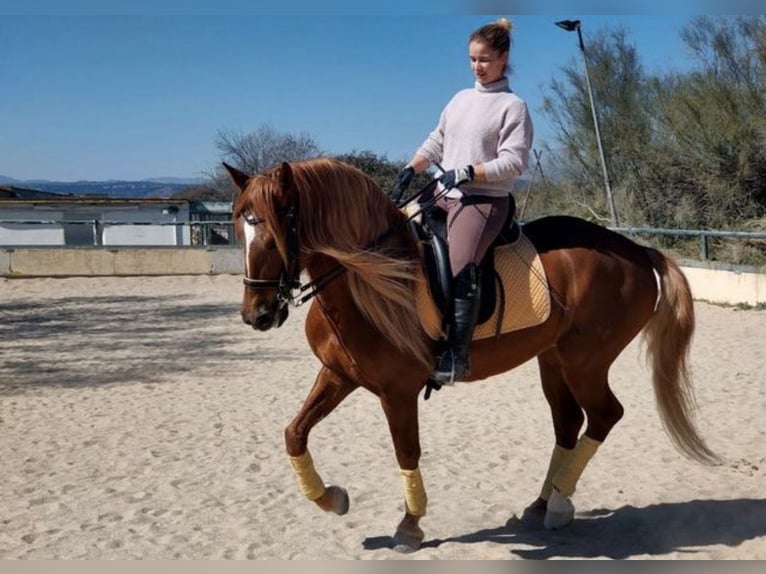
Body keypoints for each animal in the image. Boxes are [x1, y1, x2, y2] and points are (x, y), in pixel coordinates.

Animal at [223, 157, 718, 553]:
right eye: (239, 230)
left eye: (277, 229)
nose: (257, 315)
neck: (367, 281)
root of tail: (636, 250)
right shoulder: (338, 375)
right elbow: (294, 433)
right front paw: (333, 499)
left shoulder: (397, 392)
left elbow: (407, 452)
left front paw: (409, 527)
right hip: (553, 360)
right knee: (568, 424)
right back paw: (541, 505)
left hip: (586, 362)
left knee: (604, 416)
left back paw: (560, 504)